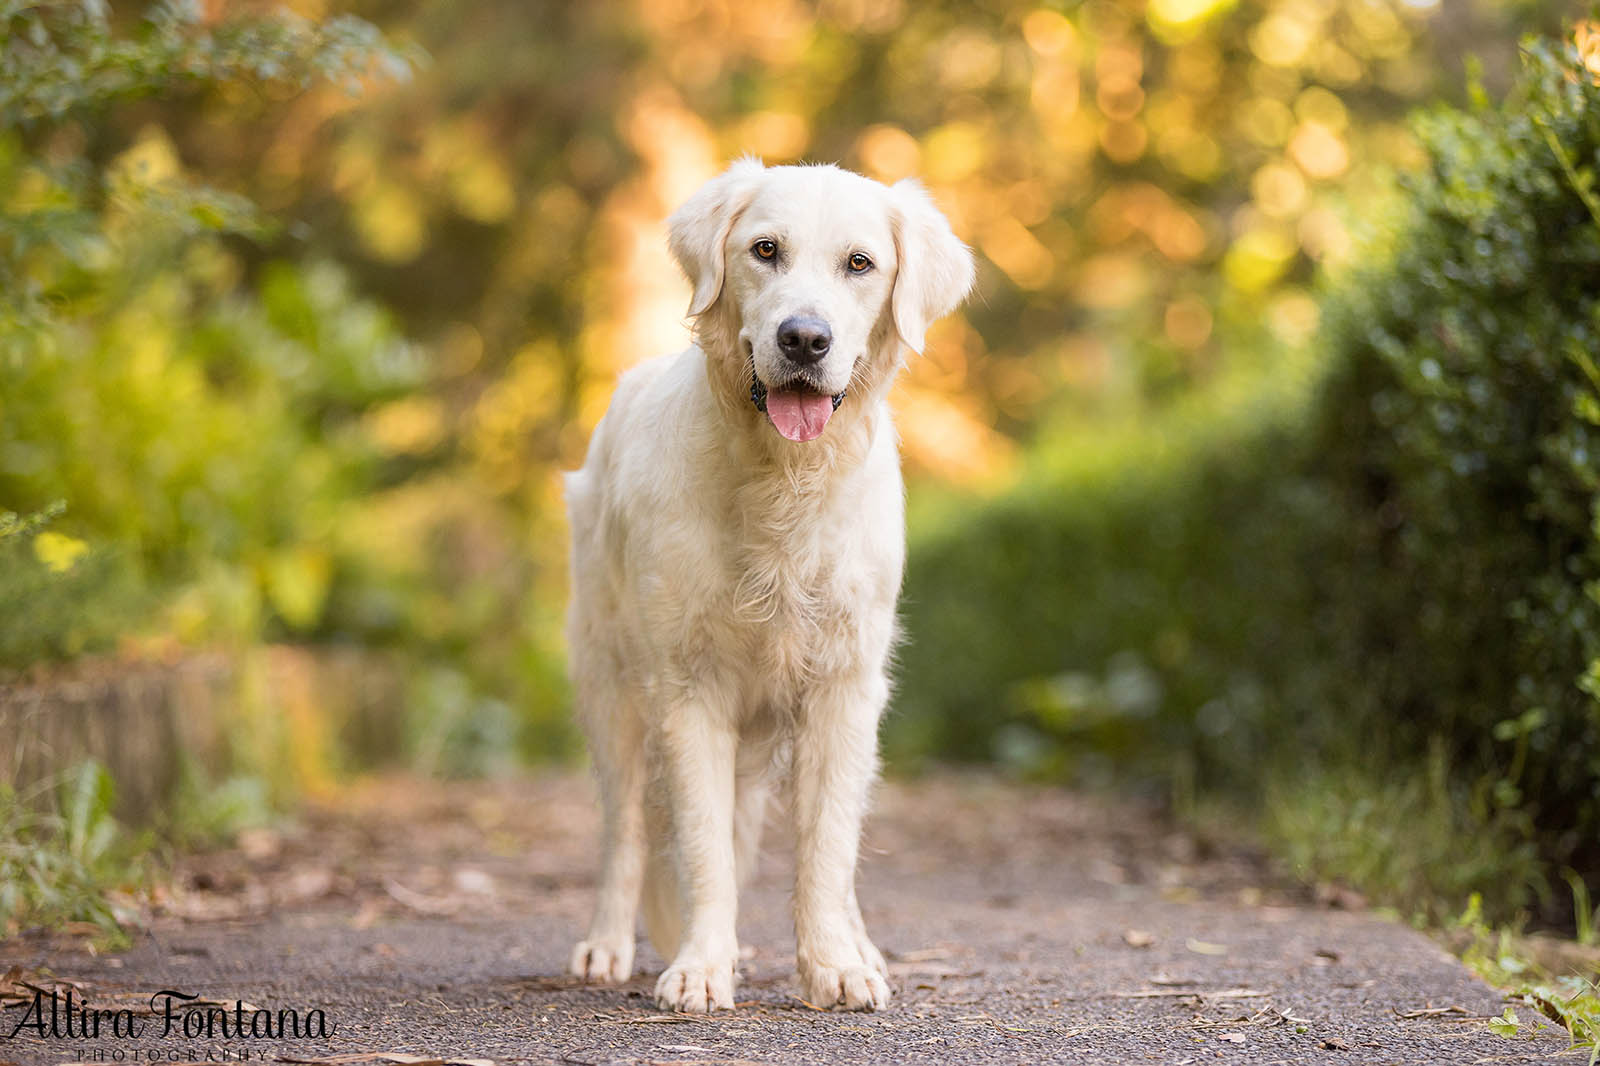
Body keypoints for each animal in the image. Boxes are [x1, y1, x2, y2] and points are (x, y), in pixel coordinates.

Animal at [566, 160, 972, 1011]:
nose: (805, 338)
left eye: (860, 263)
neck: (785, 482)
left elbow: (827, 850)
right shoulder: (689, 686)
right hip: (608, 682)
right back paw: (604, 946)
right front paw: (701, 969)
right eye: (765, 250)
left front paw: (836, 966)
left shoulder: (846, 684)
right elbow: (704, 848)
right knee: (625, 830)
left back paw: (861, 946)